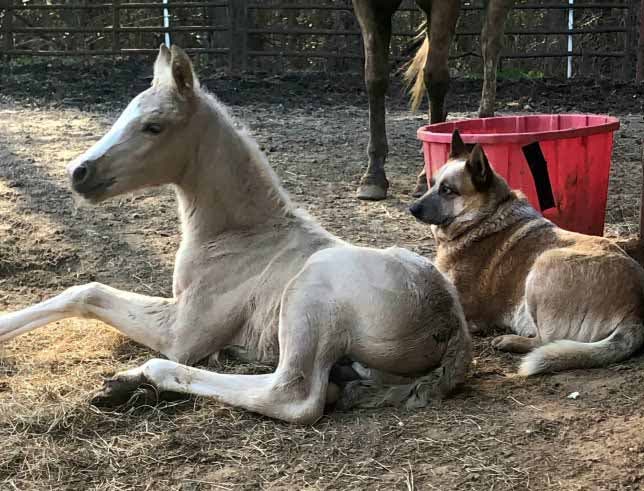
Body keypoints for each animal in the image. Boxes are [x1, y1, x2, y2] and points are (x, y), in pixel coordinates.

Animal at [1, 45, 472, 422]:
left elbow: (87, 292)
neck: (239, 233)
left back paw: (141, 378)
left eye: (153, 126)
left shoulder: (184, 330)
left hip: (309, 292)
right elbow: (83, 292)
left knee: (294, 397)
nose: (78, 173)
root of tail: (451, 325)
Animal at [352, 0, 512, 200]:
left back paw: (485, 118)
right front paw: (373, 177)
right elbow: (375, 77)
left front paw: (424, 178)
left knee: (490, 43)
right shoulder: (370, 5)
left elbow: (434, 76)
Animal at [412, 131, 644, 376]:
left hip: (544, 263)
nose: (412, 208)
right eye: (432, 183)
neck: (484, 217)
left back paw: (510, 341)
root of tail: (635, 311)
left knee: (545, 340)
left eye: (447, 190)